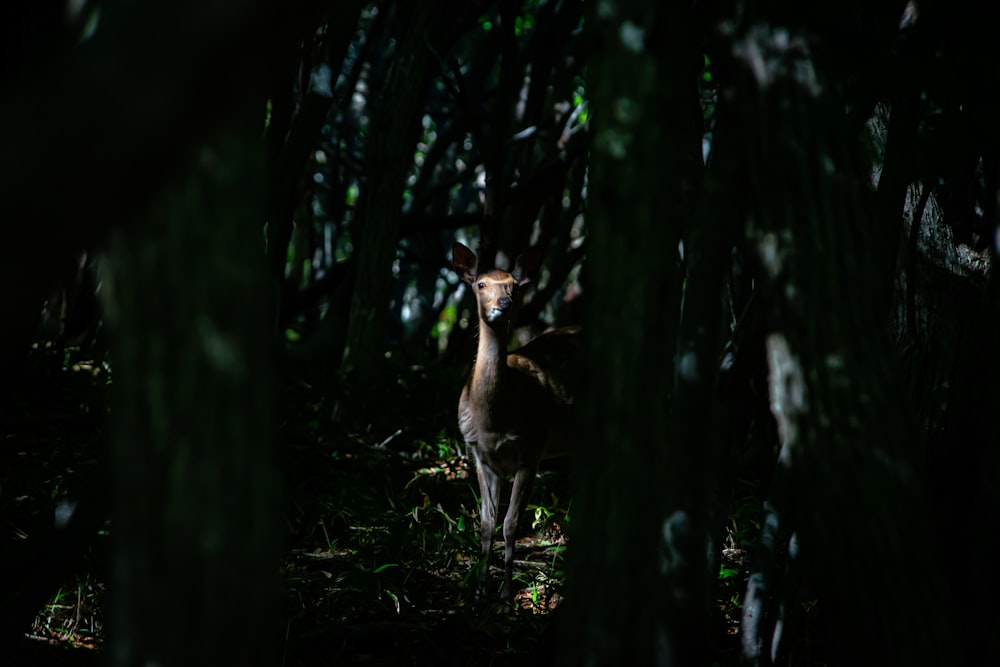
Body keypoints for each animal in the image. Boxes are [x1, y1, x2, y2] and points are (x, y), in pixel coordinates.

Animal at [452, 244, 584, 600]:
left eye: (514, 285)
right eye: (481, 284)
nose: (504, 303)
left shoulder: (533, 449)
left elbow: (511, 524)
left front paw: (506, 594)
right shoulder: (479, 454)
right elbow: (487, 522)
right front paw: (479, 589)